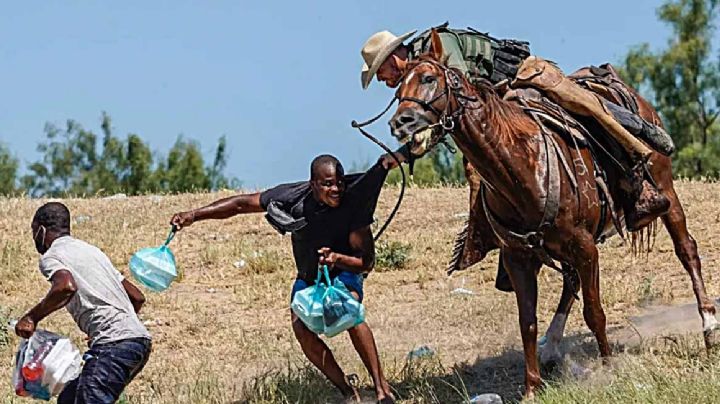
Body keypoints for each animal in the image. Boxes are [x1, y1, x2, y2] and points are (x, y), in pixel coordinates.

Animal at [388, 29, 718, 398]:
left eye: (429, 79)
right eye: (398, 90)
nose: (400, 122)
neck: (522, 168)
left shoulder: (585, 248)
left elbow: (594, 312)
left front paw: (608, 368)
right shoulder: (519, 257)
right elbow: (527, 322)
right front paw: (532, 388)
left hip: (666, 191)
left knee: (687, 250)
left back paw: (709, 327)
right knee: (570, 281)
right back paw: (552, 346)